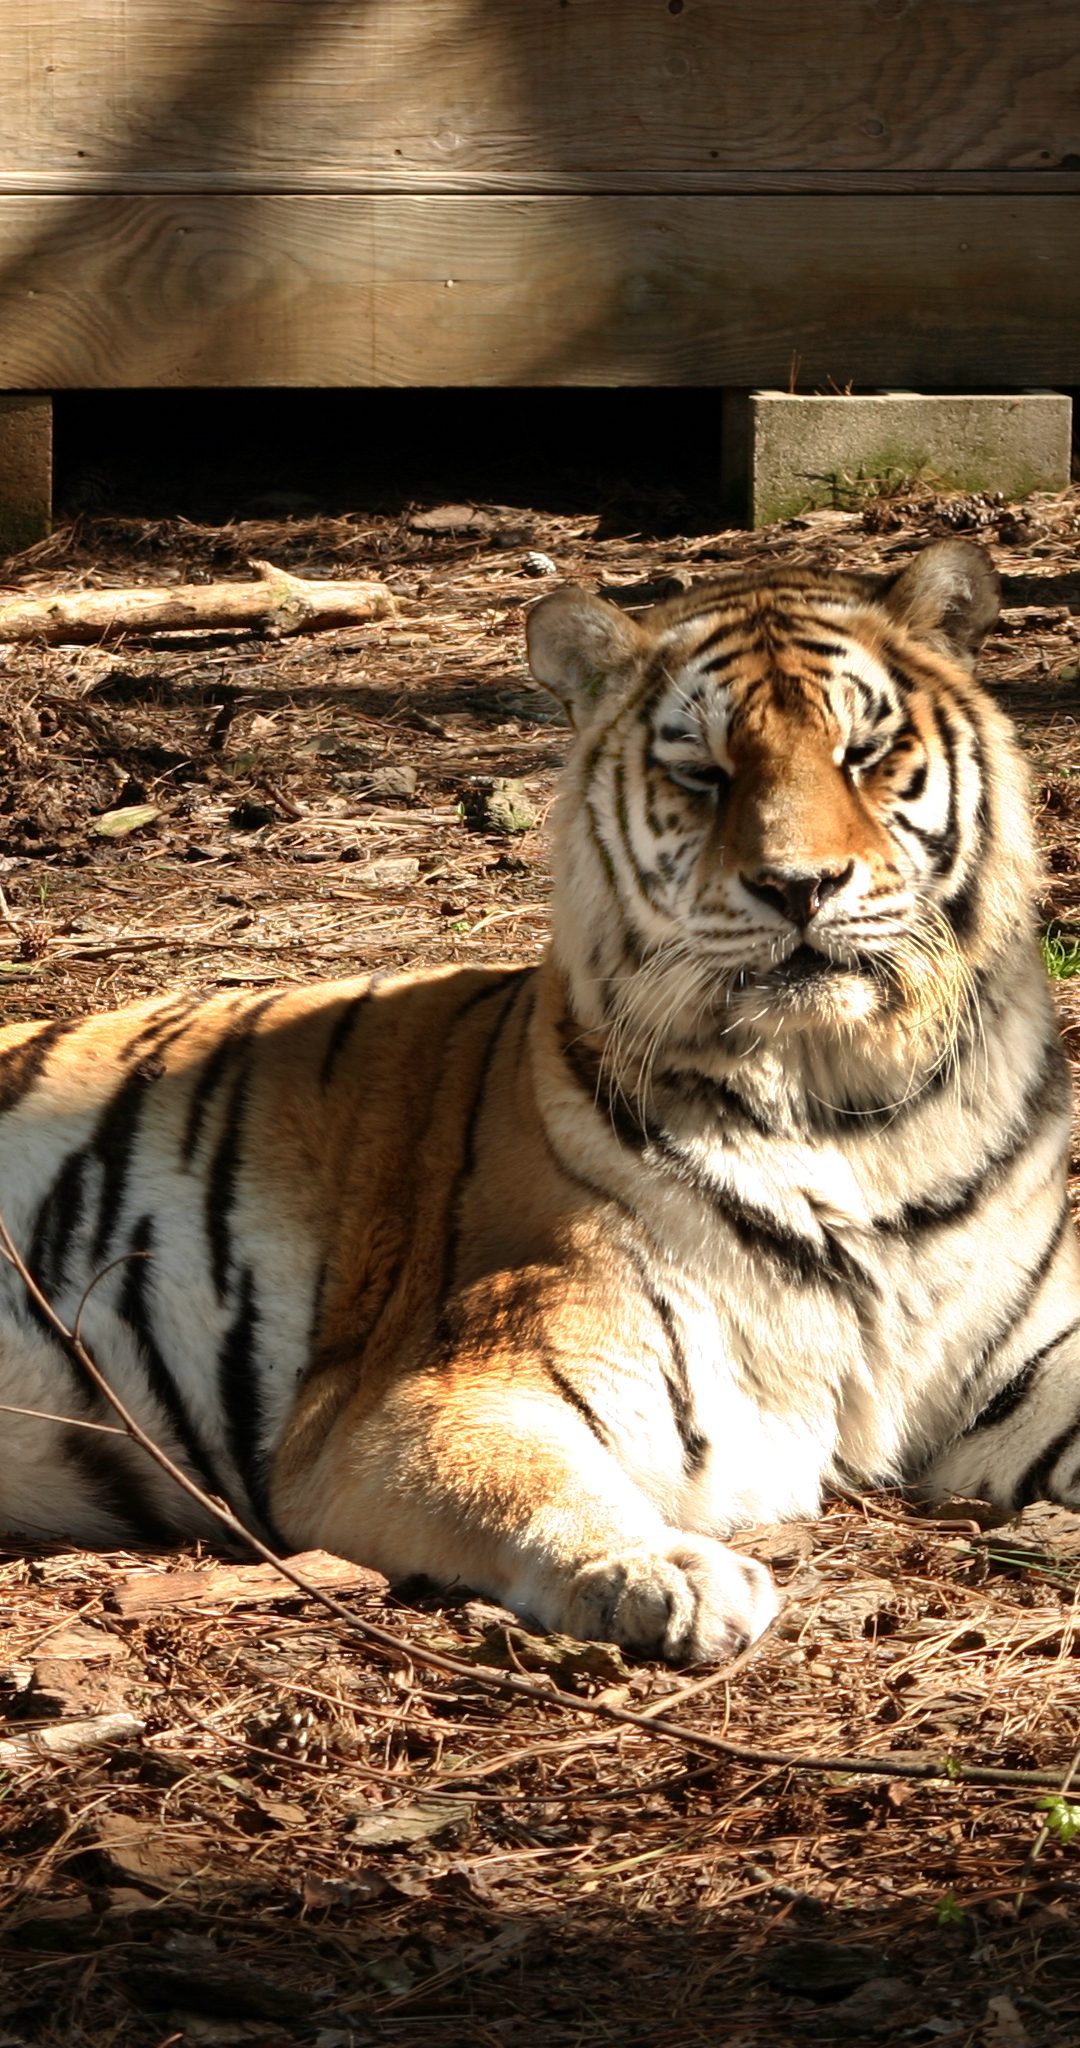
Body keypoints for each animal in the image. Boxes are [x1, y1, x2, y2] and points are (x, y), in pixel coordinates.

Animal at [0, 535, 1077, 1665]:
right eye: (702, 772)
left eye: (866, 753)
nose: (799, 886)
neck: (846, 1105)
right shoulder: (430, 1393)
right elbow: (540, 1483)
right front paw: (670, 1570)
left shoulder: (1028, 1350)